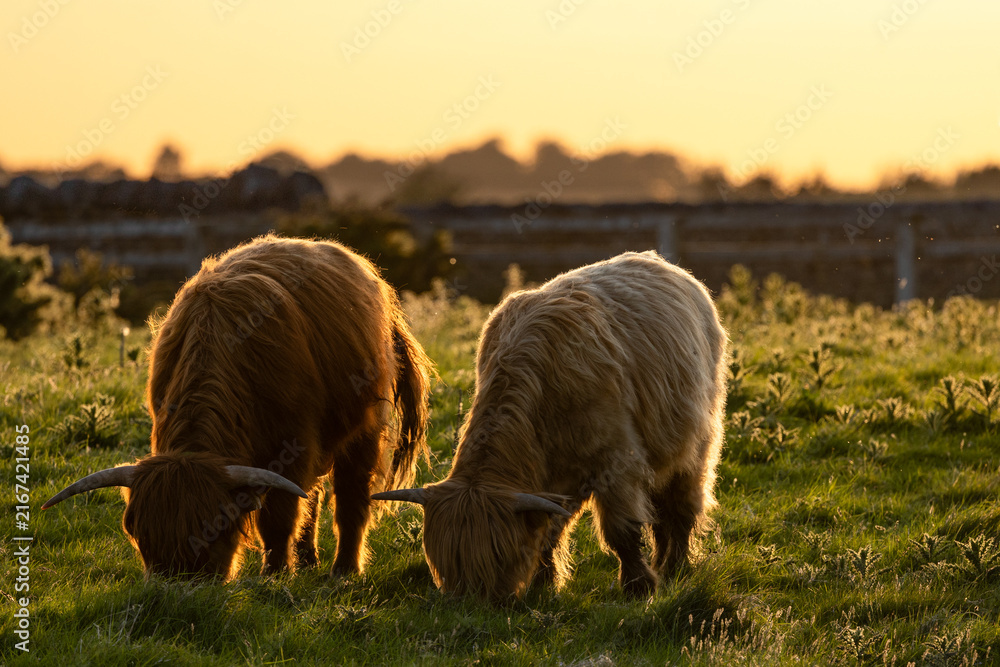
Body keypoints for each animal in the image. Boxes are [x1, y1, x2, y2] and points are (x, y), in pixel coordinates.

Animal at [43, 234, 431, 580]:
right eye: (138, 532)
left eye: (215, 528)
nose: (178, 582)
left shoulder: (291, 446)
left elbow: (278, 516)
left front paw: (275, 574)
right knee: (316, 495)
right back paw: (308, 560)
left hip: (365, 426)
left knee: (352, 496)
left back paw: (344, 570)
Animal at [374, 251, 727, 599]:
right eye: (446, 565)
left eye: (497, 558)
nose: (470, 604)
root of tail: (659, 261)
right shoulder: (551, 480)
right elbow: (548, 530)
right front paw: (543, 584)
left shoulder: (617, 461)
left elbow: (622, 531)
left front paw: (638, 587)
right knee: (660, 509)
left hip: (697, 441)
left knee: (682, 504)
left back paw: (674, 568)